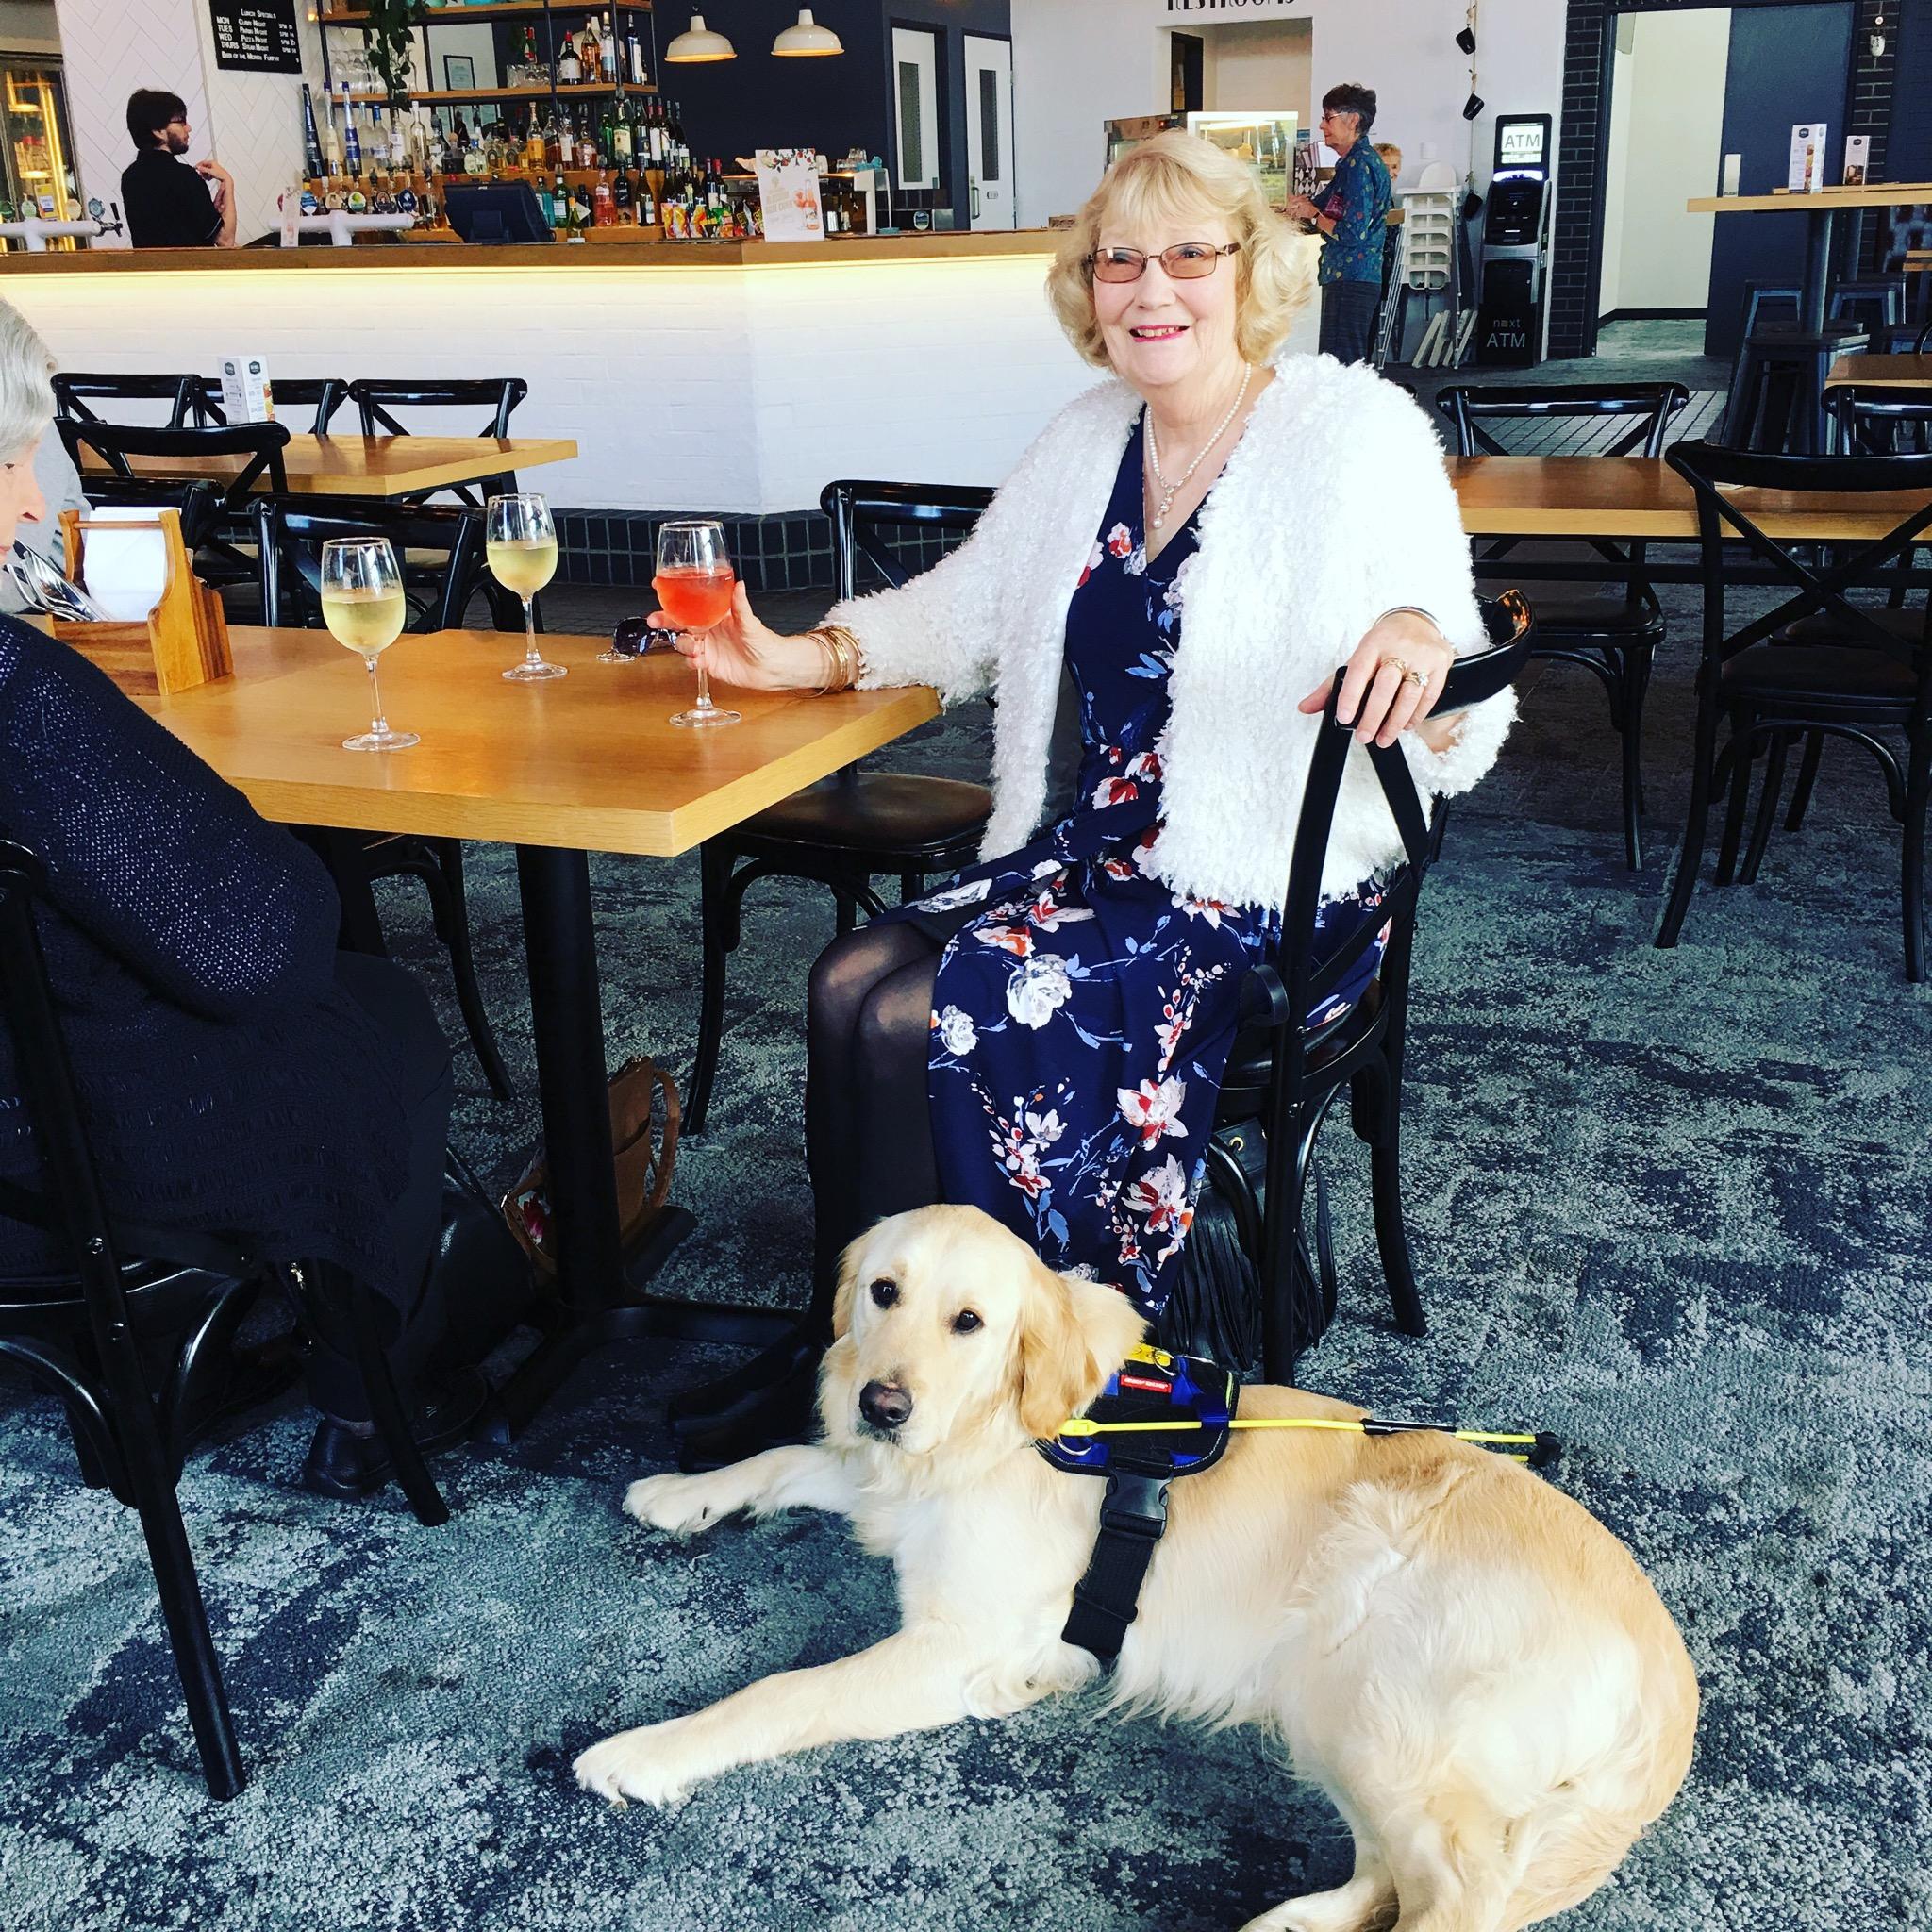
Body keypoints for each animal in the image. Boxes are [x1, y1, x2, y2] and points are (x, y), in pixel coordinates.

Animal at [572, 1197, 1692, 1924]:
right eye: (881, 1290)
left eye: (968, 1321)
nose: (881, 1402)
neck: (996, 1428)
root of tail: (1670, 1679)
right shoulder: (895, 1488)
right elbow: (784, 1457)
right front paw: (677, 1490)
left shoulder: (953, 1642)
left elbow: (779, 1692)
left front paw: (644, 1752)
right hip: (1343, 1712)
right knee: (1388, 1874)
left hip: (1366, 1690)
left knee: (1460, 1895)